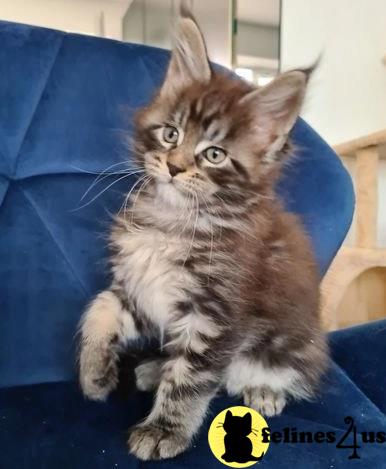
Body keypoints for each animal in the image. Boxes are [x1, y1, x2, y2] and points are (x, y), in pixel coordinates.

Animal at [77, 8, 328, 460]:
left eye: (214, 155)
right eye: (171, 134)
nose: (175, 167)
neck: (174, 219)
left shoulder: (216, 315)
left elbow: (190, 379)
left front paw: (164, 430)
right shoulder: (141, 289)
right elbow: (99, 307)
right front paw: (94, 373)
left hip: (295, 344)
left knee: (278, 374)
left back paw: (264, 391)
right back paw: (154, 368)